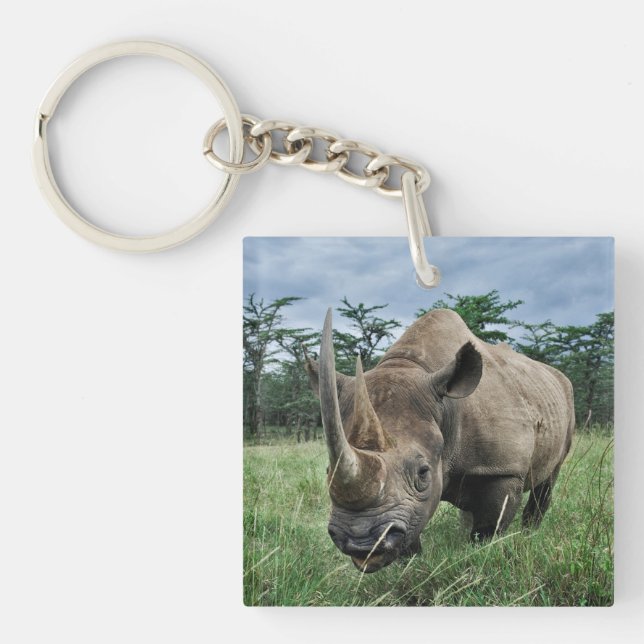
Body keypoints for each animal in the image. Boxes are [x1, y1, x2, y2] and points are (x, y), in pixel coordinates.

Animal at [306, 308, 574, 573]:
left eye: (423, 472)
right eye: (328, 471)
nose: (361, 544)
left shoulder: (503, 470)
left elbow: (488, 529)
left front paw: (479, 556)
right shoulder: (411, 505)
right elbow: (413, 528)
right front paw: (412, 566)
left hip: (564, 397)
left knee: (549, 477)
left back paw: (529, 534)